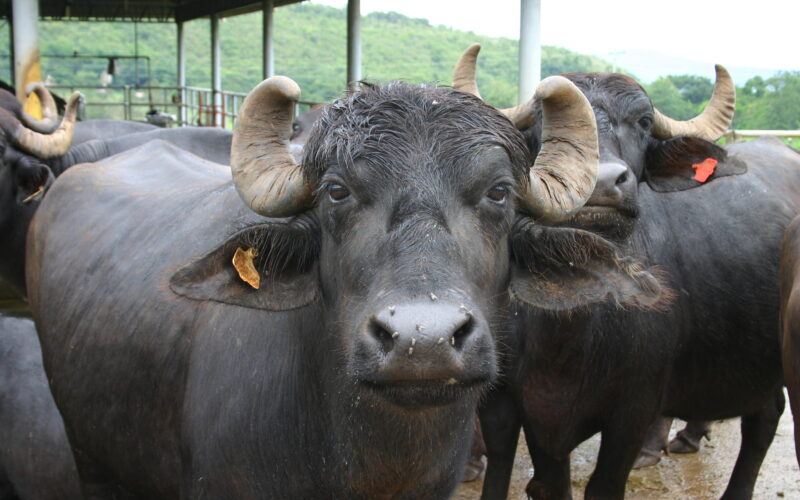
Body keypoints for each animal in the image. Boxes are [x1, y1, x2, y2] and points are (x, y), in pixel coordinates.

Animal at [456, 45, 800, 498]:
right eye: (545, 123)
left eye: (643, 122)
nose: (602, 184)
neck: (569, 331)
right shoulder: (519, 410)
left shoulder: (633, 411)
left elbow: (604, 484)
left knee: (763, 420)